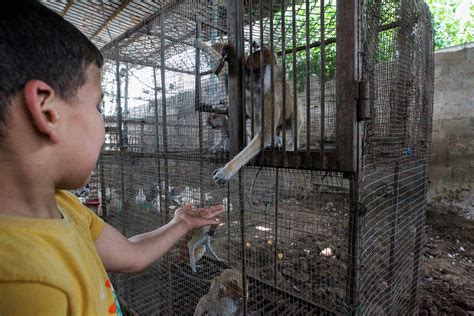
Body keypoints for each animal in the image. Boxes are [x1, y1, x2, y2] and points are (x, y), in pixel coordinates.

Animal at [212, 43, 304, 184]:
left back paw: (291, 145)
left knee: (296, 113)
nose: (248, 81)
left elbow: (264, 135)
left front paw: (226, 171)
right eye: (248, 70)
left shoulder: (272, 98)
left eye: (257, 72)